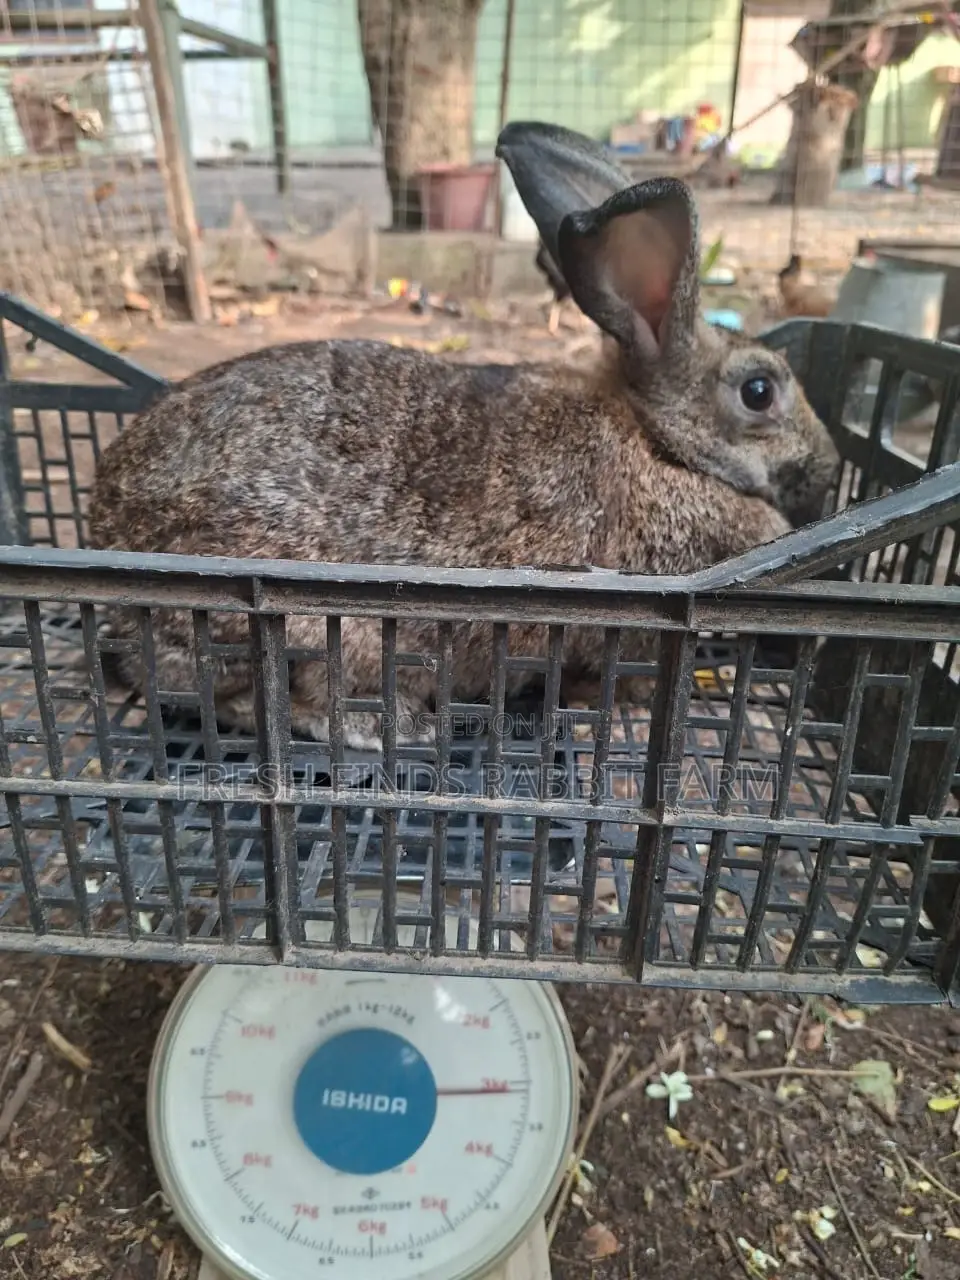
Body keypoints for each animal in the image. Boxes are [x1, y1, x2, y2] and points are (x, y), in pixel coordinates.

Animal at [87, 120, 840, 752]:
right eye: (759, 391)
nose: (830, 467)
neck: (660, 442)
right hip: (302, 631)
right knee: (250, 700)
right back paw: (391, 724)